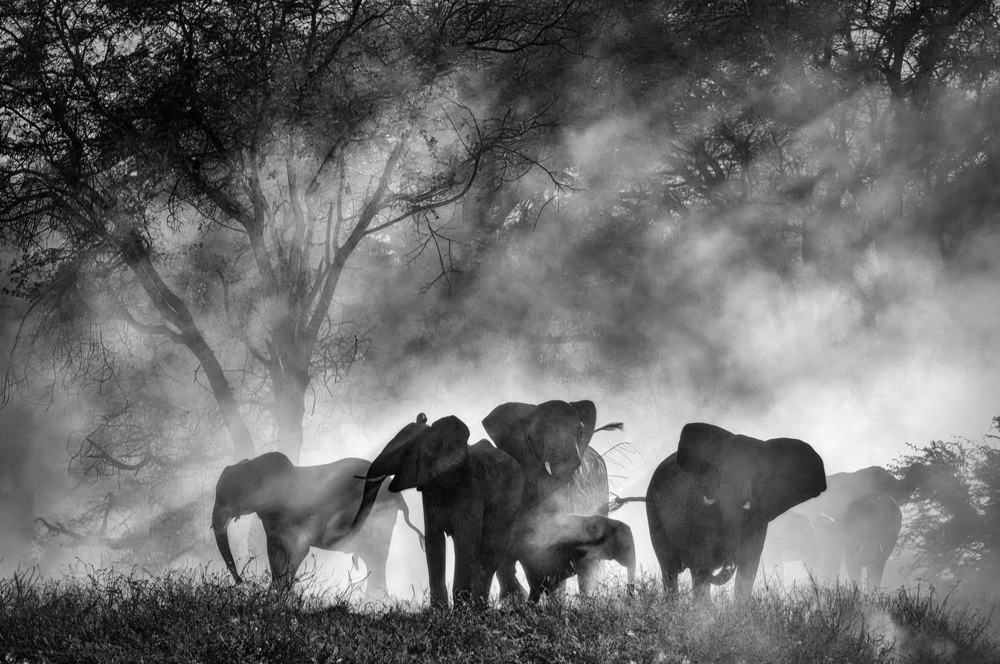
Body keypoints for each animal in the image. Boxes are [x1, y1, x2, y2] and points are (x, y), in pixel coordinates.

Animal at [212, 453, 424, 593]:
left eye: (233, 494)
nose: (243, 583)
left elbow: (298, 551)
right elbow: (275, 554)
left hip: (379, 517)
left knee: (376, 558)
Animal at [348, 414, 524, 608]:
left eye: (408, 451)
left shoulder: (471, 488)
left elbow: (465, 542)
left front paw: (461, 611)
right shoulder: (430, 489)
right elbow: (434, 541)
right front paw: (439, 610)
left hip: (511, 504)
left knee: (490, 553)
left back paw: (479, 608)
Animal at [646, 422, 827, 599]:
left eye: (759, 477)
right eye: (720, 471)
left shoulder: (759, 516)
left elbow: (749, 564)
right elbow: (701, 562)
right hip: (654, 514)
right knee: (670, 570)